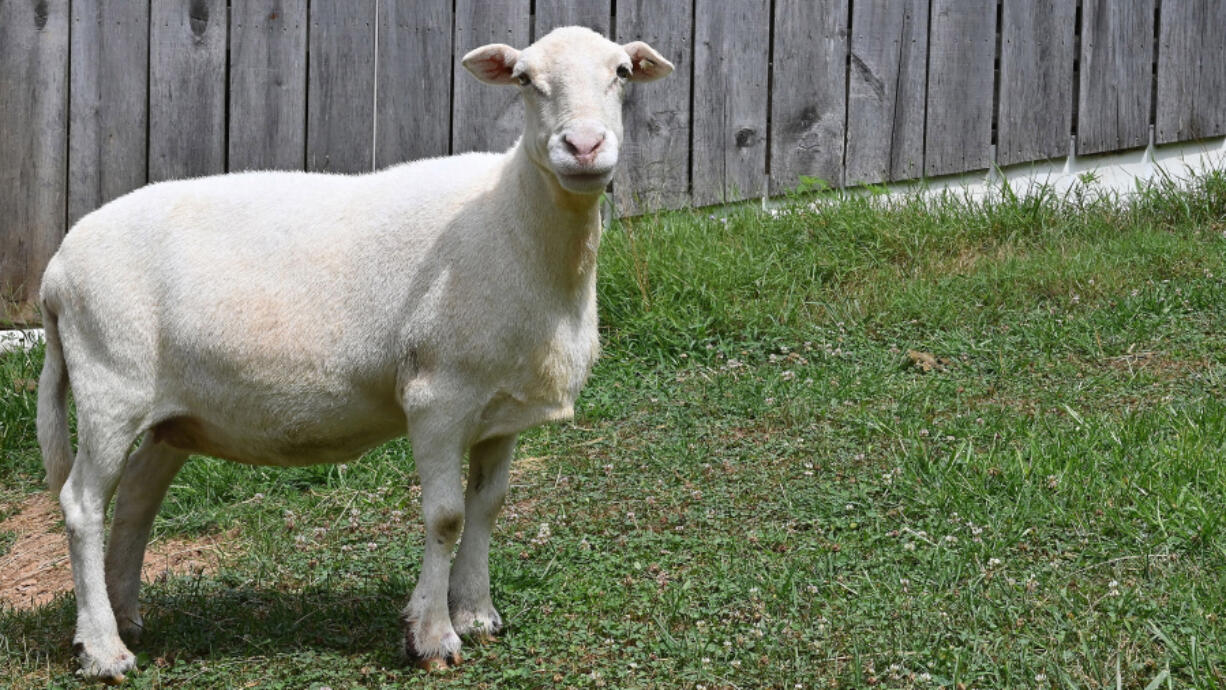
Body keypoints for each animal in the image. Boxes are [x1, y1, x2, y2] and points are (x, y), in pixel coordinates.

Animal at [38, 26, 676, 681]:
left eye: (622, 72)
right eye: (524, 79)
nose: (584, 145)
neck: (513, 222)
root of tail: (56, 273)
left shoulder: (502, 405)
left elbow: (488, 506)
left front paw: (476, 613)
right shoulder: (437, 396)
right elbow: (446, 515)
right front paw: (433, 637)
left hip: (178, 414)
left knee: (138, 495)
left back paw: (125, 615)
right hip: (111, 381)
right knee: (82, 505)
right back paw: (103, 649)